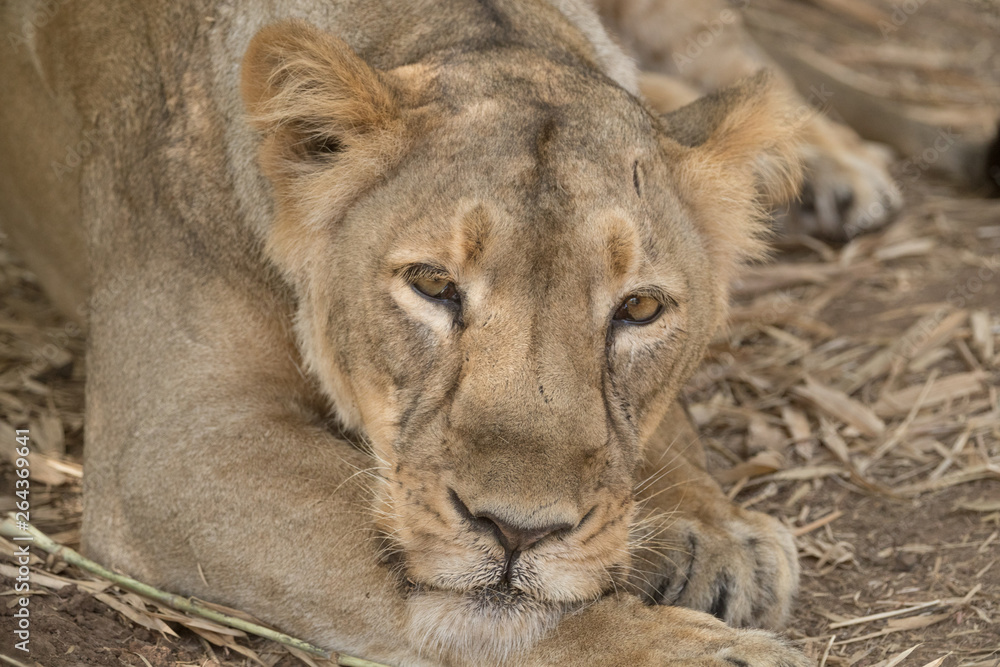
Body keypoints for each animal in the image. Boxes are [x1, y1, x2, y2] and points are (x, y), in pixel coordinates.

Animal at [0, 0, 900, 664]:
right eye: (433, 285)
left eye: (640, 309)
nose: (518, 530)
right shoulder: (177, 446)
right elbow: (475, 603)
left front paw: (716, 529)